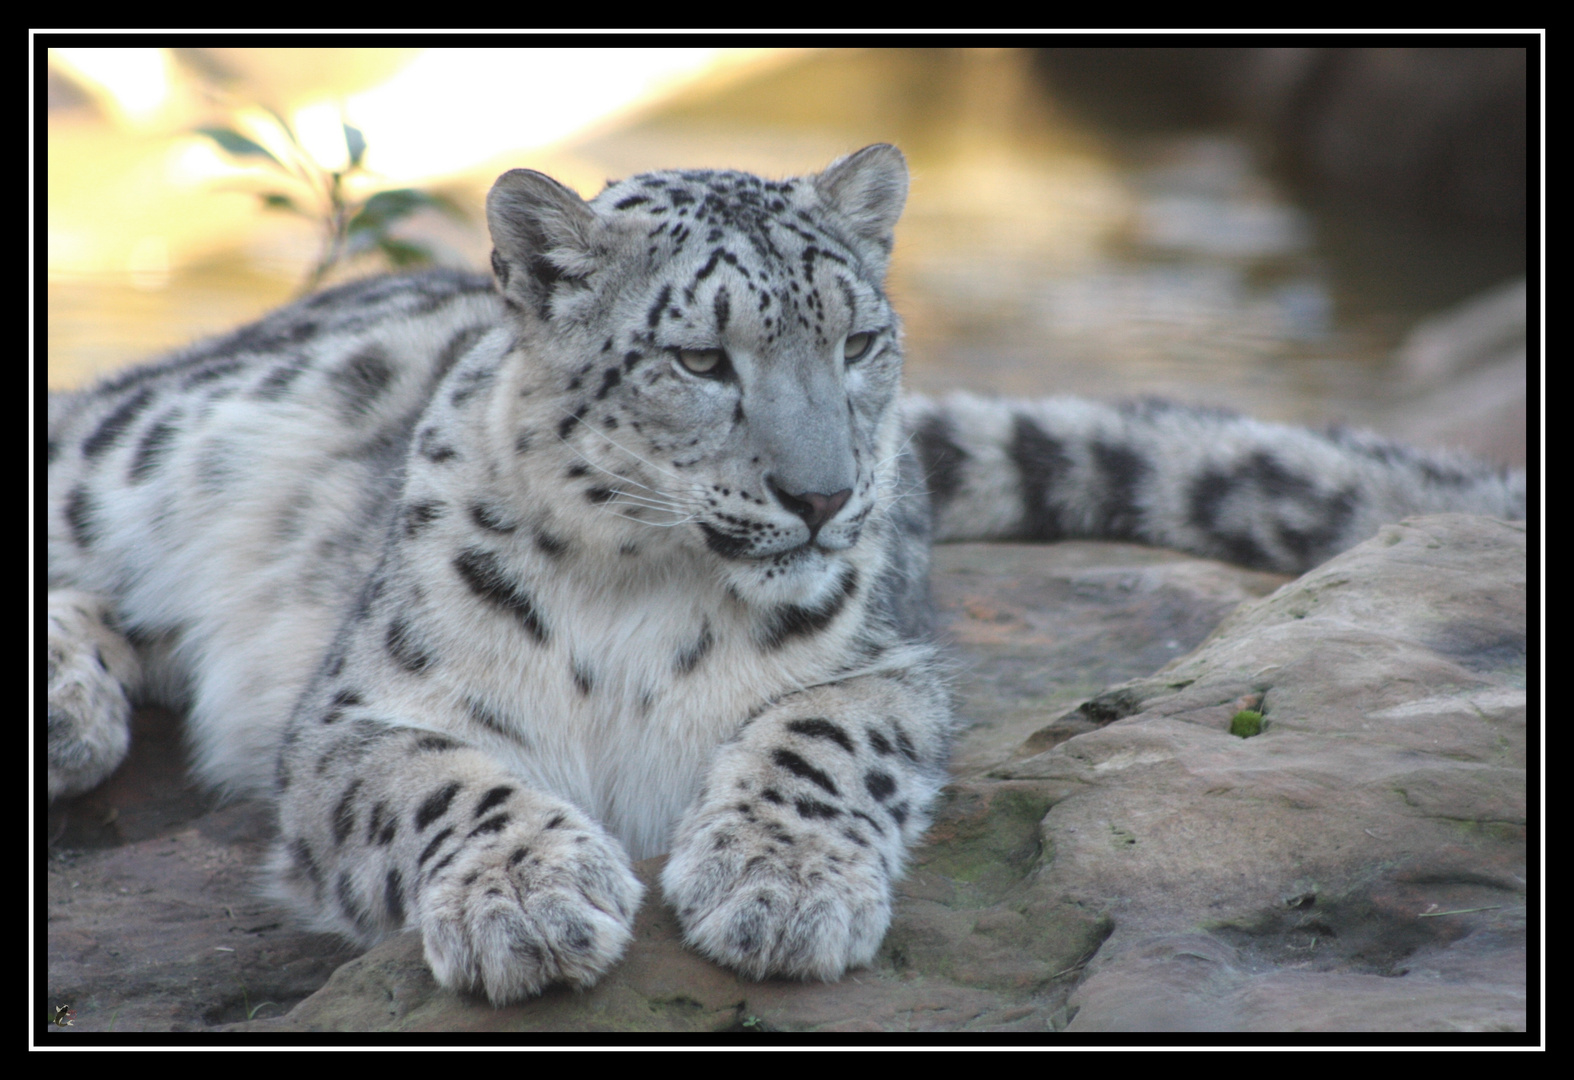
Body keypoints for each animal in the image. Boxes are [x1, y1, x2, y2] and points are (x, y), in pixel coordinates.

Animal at [46, 144, 1523, 1007]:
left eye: (859, 338)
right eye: (700, 359)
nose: (823, 494)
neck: (636, 589)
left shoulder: (886, 669)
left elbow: (817, 739)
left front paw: (779, 890)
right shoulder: (358, 715)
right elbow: (439, 783)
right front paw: (532, 904)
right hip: (153, 445)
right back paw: (66, 704)